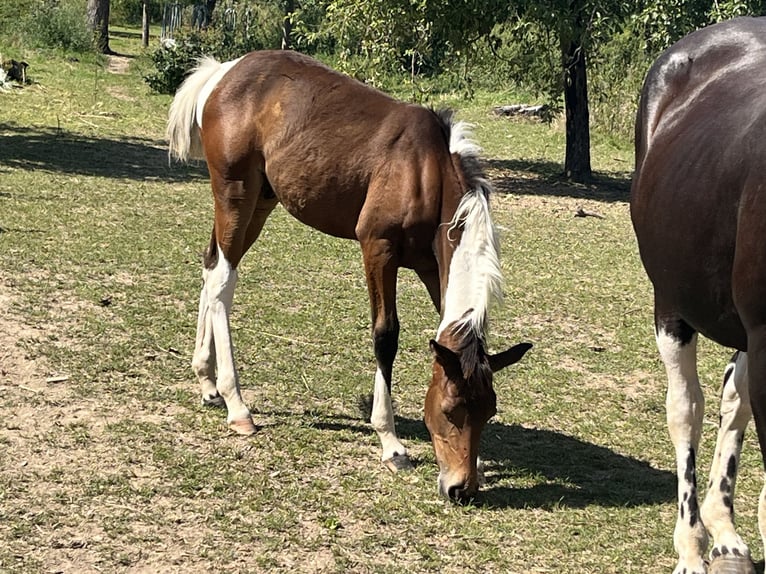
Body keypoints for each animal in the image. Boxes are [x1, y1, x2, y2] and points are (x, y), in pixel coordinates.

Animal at [166, 50, 531, 502]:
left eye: (489, 410)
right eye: (450, 409)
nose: (460, 489)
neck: (425, 170)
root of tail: (223, 72)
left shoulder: (431, 267)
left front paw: (479, 463)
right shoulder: (377, 249)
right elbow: (386, 335)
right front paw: (391, 443)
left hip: (261, 202)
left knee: (212, 267)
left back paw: (207, 382)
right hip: (235, 195)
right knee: (221, 283)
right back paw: (238, 406)